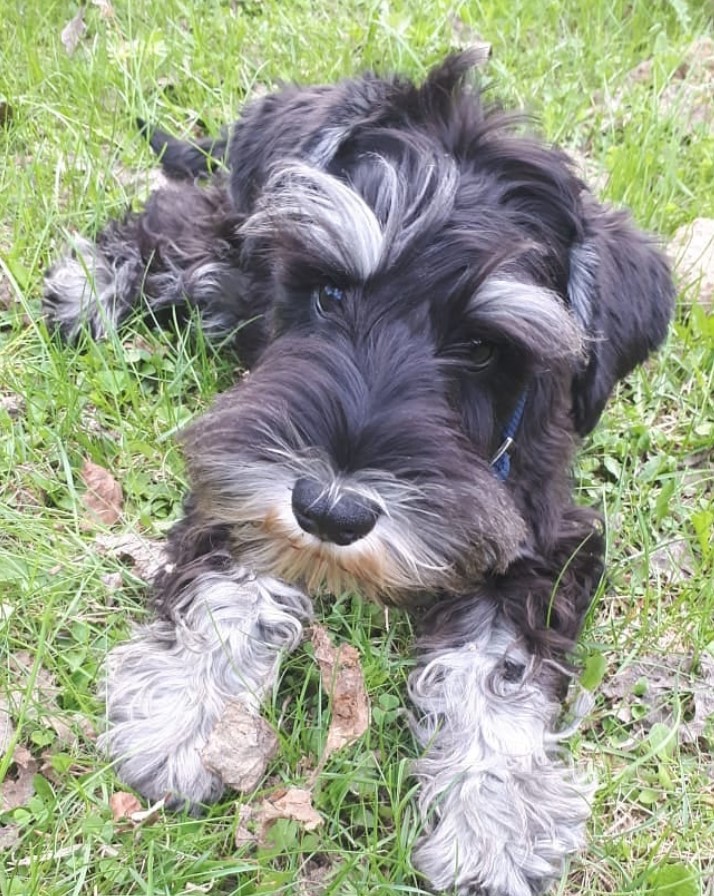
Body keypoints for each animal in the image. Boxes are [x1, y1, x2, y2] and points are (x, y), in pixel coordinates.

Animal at [44, 54, 672, 896]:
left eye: (481, 347)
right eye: (331, 290)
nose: (330, 511)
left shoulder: (545, 542)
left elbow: (497, 671)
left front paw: (495, 823)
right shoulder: (240, 475)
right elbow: (227, 586)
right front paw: (189, 716)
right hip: (228, 262)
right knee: (175, 224)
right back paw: (87, 286)